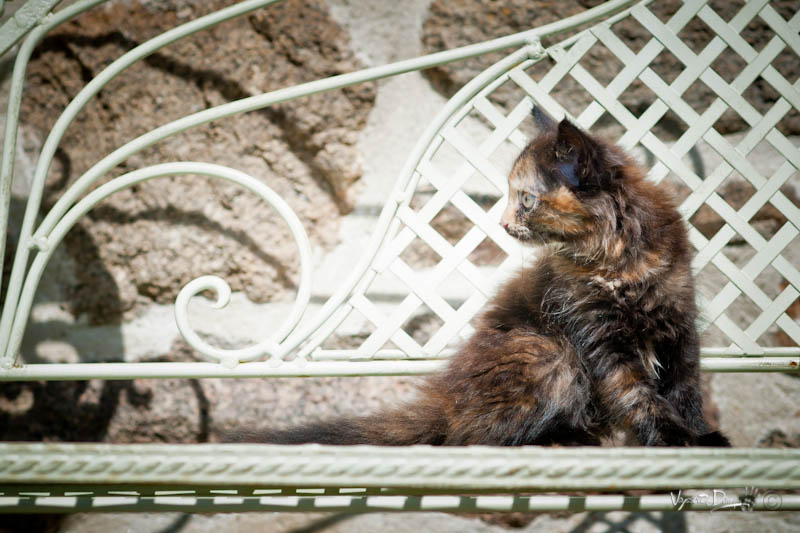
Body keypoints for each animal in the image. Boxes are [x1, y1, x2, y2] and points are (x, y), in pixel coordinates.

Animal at [233, 107, 732, 444]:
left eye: (526, 199)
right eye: (512, 198)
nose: (505, 224)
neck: (617, 259)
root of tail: (452, 398)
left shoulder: (678, 323)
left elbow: (684, 387)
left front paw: (699, 434)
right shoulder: (600, 337)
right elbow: (638, 395)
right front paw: (674, 439)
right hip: (546, 350)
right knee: (476, 436)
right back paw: (564, 439)